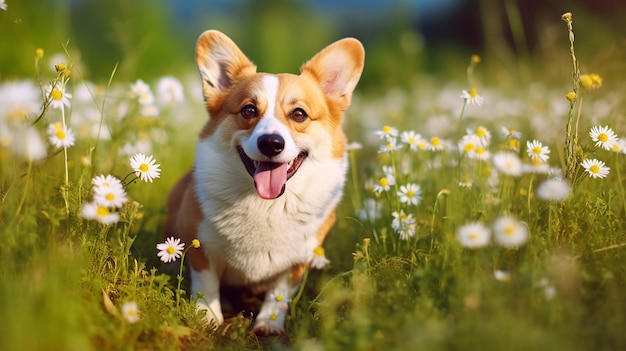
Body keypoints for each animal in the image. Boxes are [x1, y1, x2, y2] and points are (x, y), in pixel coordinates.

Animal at [163, 30, 364, 336]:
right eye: (248, 110)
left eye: (299, 114)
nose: (271, 143)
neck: (265, 205)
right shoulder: (201, 246)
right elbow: (206, 284)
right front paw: (208, 316)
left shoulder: (298, 259)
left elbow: (278, 293)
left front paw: (268, 324)